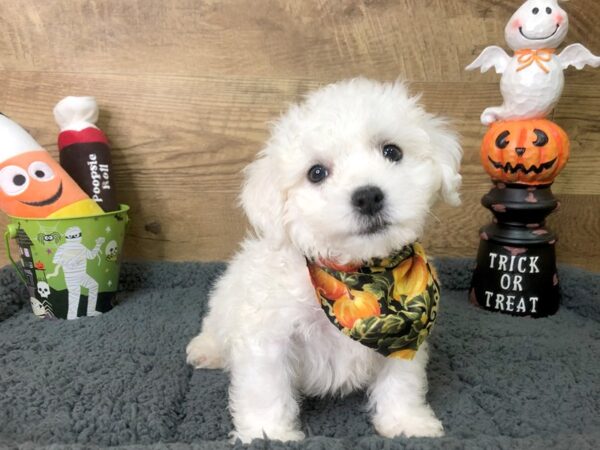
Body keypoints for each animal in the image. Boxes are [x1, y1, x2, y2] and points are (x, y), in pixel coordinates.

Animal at [185, 78, 462, 442]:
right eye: (316, 173)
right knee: (213, 327)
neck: (357, 271)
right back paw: (206, 350)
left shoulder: (405, 336)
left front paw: (406, 422)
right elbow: (266, 388)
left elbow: (401, 382)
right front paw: (268, 433)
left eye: (392, 152)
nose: (368, 196)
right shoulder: (269, 335)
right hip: (224, 303)